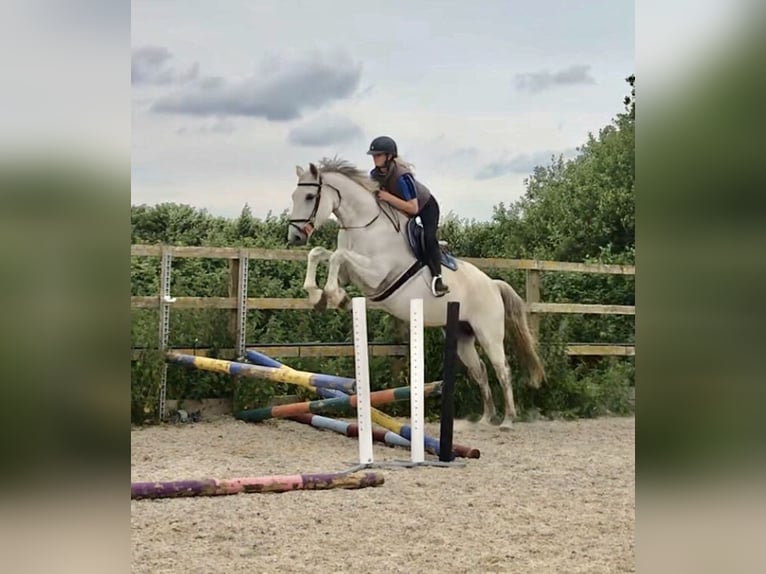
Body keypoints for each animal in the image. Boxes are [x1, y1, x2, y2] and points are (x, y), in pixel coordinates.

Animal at [286, 157, 544, 427]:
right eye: (294, 196)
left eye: (309, 196)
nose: (294, 237)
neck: (365, 226)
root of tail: (493, 284)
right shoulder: (349, 273)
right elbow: (318, 253)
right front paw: (317, 295)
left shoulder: (376, 274)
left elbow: (337, 256)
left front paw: (335, 296)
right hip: (463, 337)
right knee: (480, 370)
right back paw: (485, 418)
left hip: (489, 333)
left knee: (502, 369)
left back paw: (508, 420)